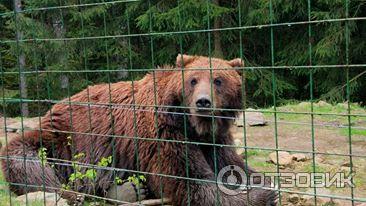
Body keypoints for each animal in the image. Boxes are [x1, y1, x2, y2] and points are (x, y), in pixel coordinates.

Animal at [0, 54, 278, 205]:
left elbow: (234, 165)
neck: (191, 125)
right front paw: (263, 195)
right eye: (193, 80)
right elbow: (191, 181)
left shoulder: (215, 140)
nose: (203, 102)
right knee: (29, 162)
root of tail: (55, 106)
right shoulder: (160, 132)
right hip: (62, 140)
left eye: (218, 80)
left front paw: (262, 181)